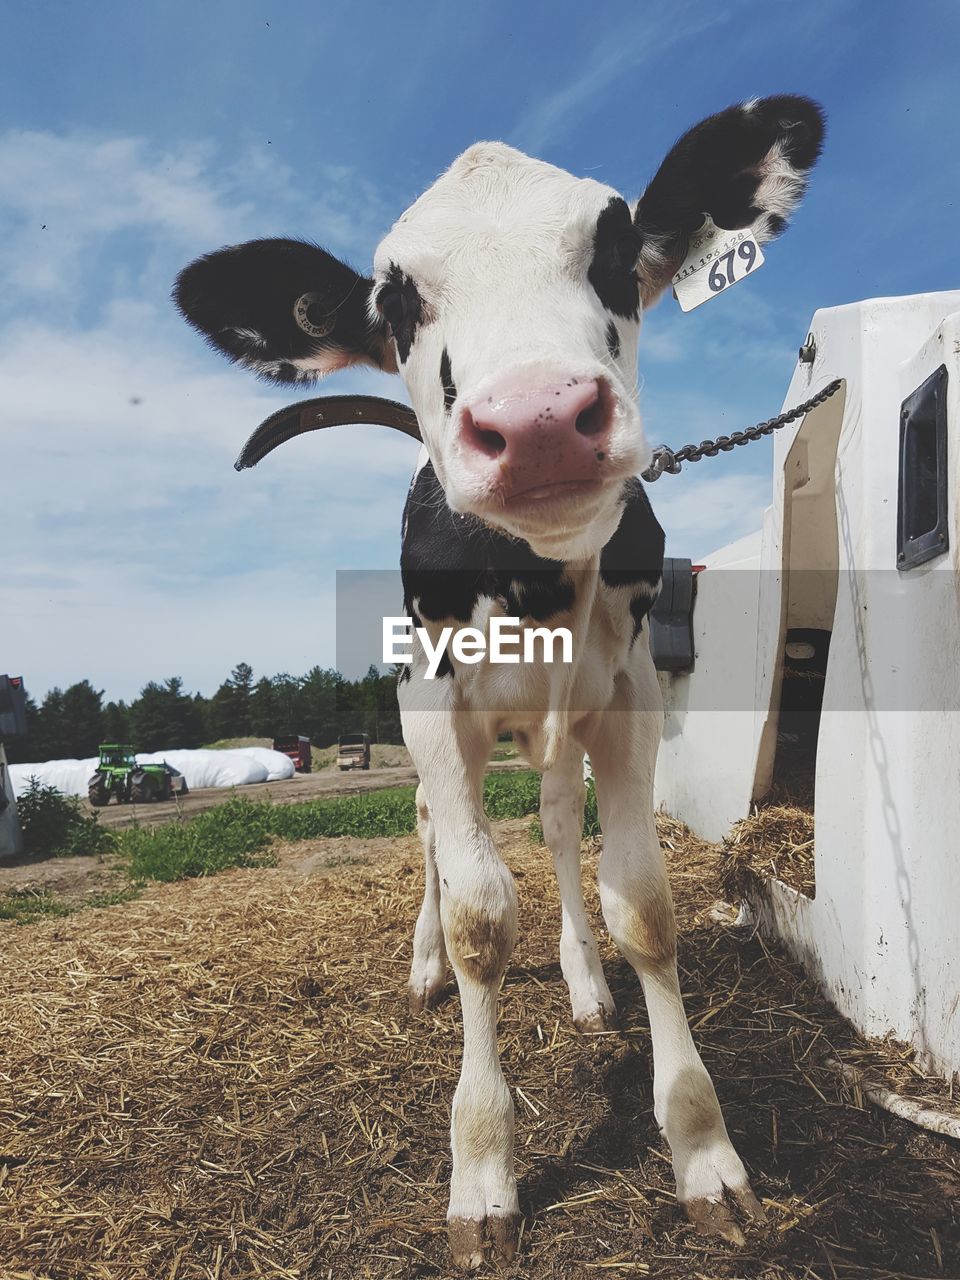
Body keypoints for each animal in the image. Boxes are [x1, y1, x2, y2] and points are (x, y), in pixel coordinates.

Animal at [179, 92, 829, 1269]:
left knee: (562, 827)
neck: (539, 572)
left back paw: (582, 981)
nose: (537, 419)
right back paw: (426, 964)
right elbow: (481, 913)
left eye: (616, 253)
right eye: (395, 302)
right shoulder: (433, 712)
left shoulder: (626, 700)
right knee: (437, 841)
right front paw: (481, 1170)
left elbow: (641, 904)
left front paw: (703, 1151)